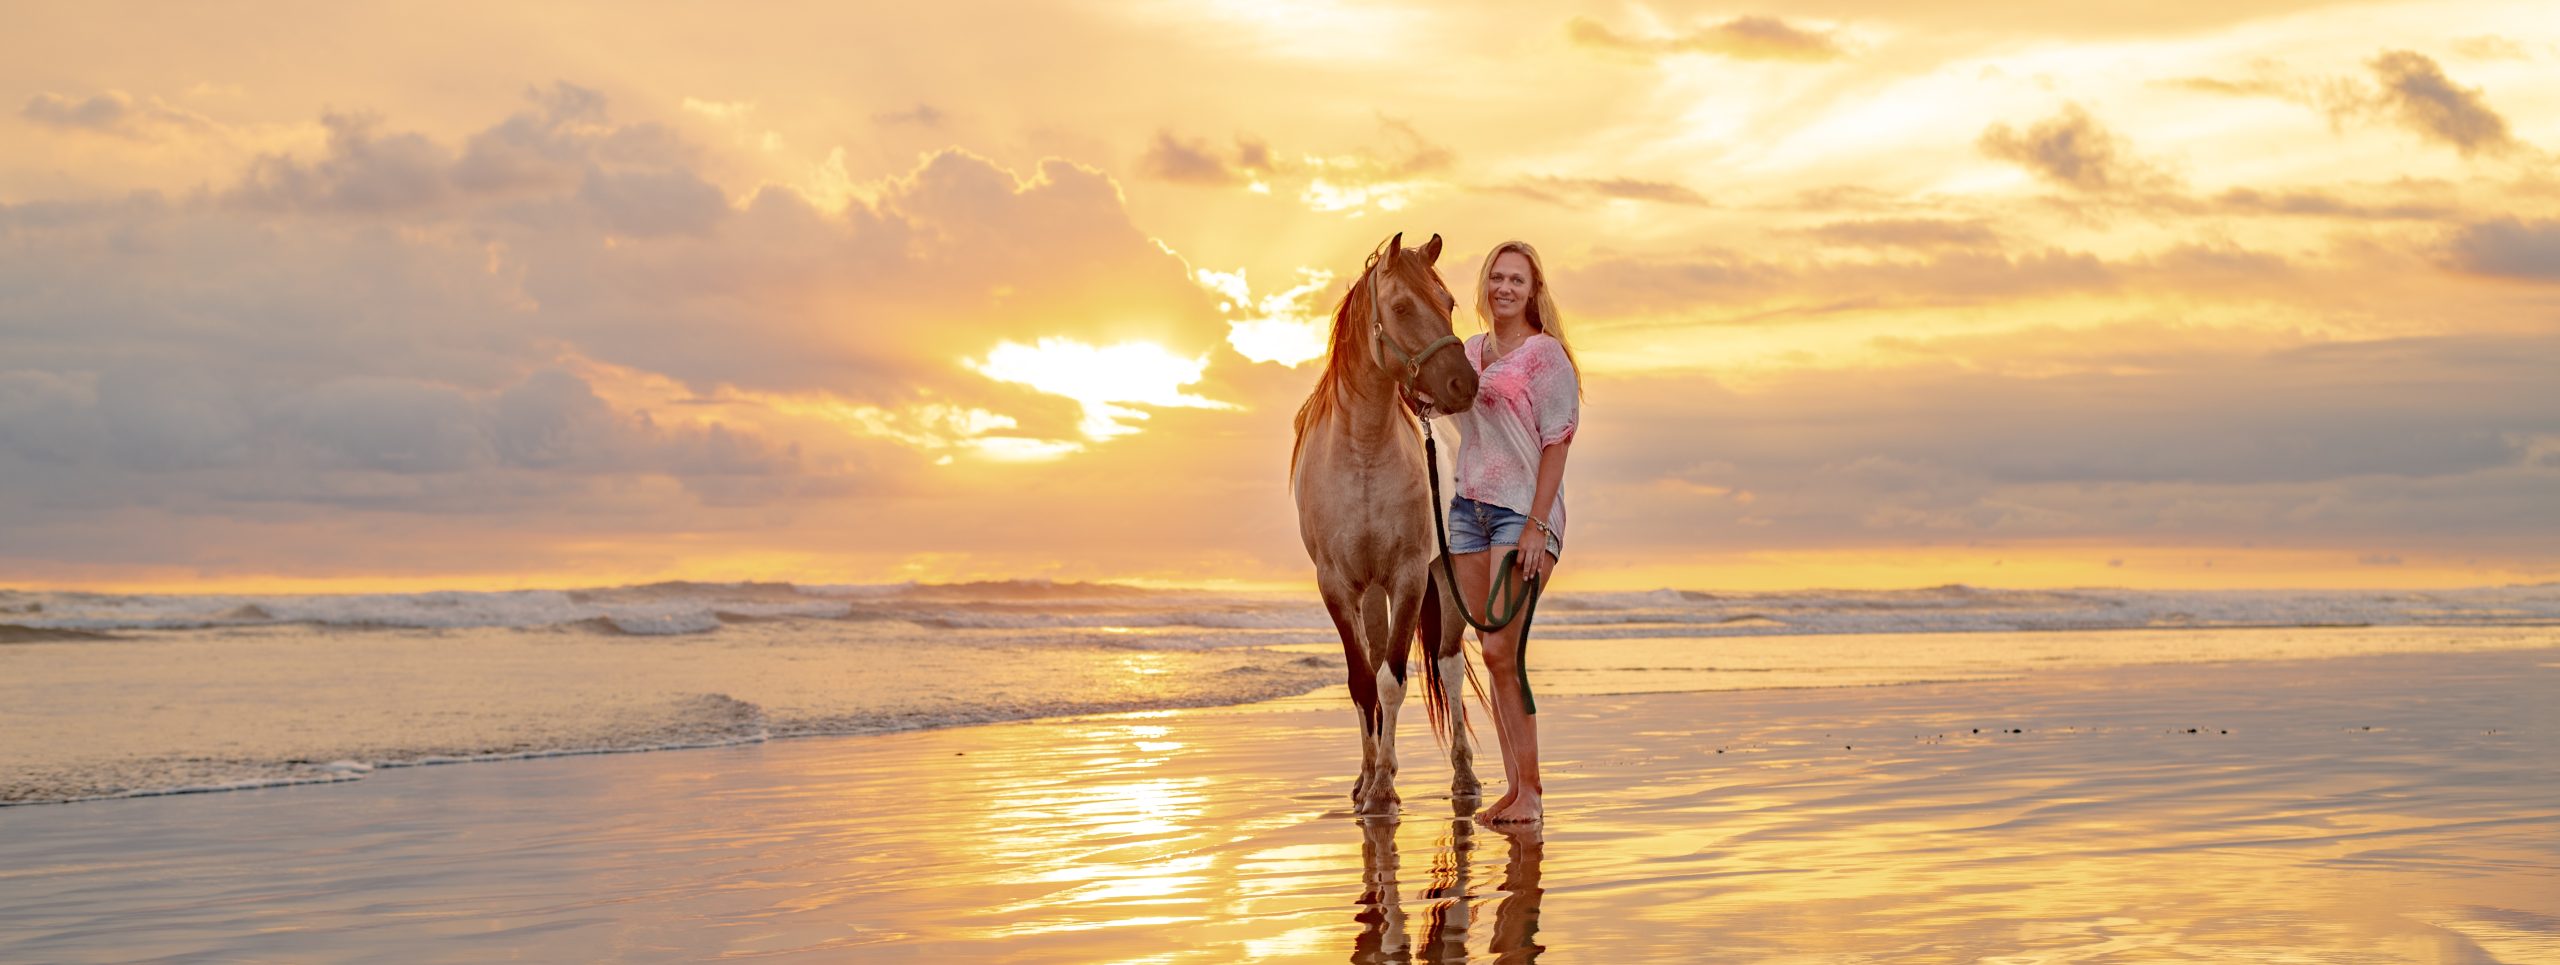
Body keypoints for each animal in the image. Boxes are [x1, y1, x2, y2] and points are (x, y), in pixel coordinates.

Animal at [1290, 231, 1495, 813]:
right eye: (1402, 307)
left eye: (1448, 303)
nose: (1464, 384)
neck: (1362, 452)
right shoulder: (1338, 585)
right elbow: (1364, 680)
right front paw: (1368, 783)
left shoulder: (1408, 575)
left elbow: (1394, 680)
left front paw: (1382, 788)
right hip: (1372, 591)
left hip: (1443, 578)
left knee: (1447, 665)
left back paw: (1463, 777)